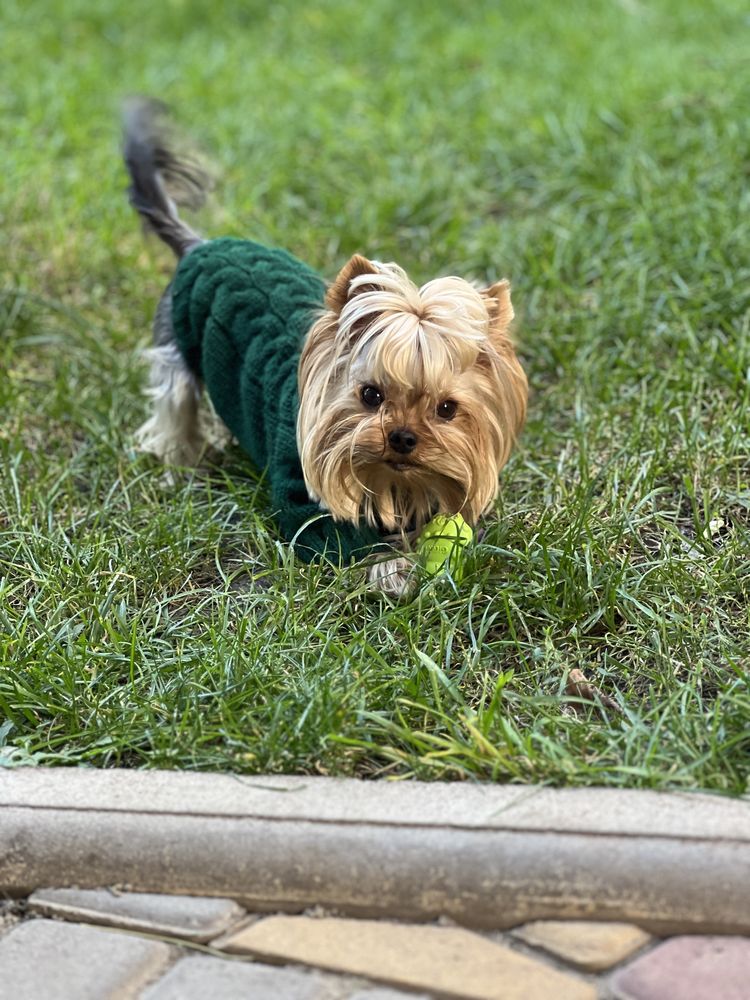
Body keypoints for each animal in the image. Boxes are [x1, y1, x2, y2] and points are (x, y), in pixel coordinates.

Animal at [122, 99, 528, 592]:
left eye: (447, 409)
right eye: (370, 395)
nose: (402, 437)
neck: (393, 482)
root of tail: (198, 245)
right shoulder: (306, 505)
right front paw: (395, 570)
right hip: (175, 348)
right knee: (173, 404)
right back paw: (182, 461)